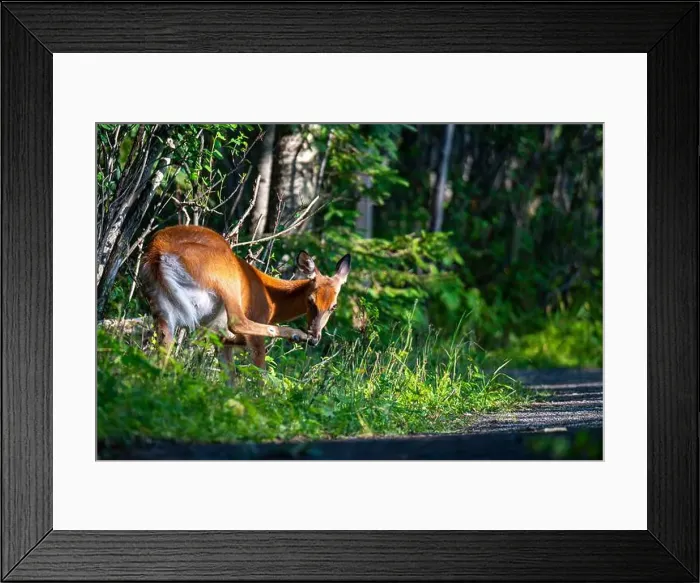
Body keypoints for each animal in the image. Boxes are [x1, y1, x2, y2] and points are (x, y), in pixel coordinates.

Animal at [139, 225, 351, 370]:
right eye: (310, 300)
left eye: (334, 306)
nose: (315, 337)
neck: (272, 299)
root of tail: (157, 252)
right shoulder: (256, 316)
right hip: (227, 277)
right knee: (238, 321)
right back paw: (295, 334)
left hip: (161, 307)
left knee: (164, 350)